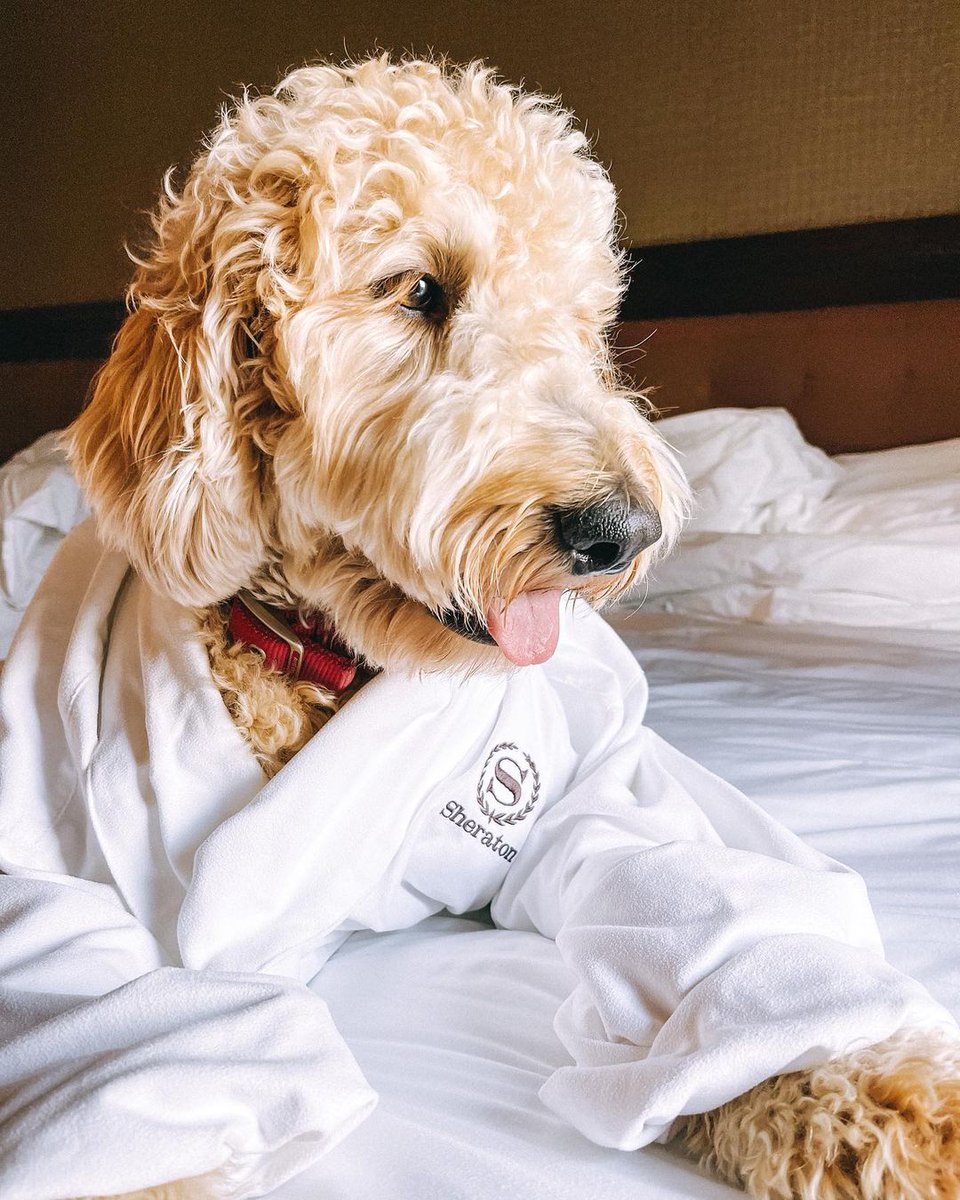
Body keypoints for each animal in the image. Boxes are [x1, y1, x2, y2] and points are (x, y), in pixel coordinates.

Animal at [39, 56, 950, 1200]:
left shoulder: (602, 778)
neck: (323, 658)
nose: (622, 531)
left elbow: (708, 915)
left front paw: (876, 1096)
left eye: (582, 317)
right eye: (419, 289)